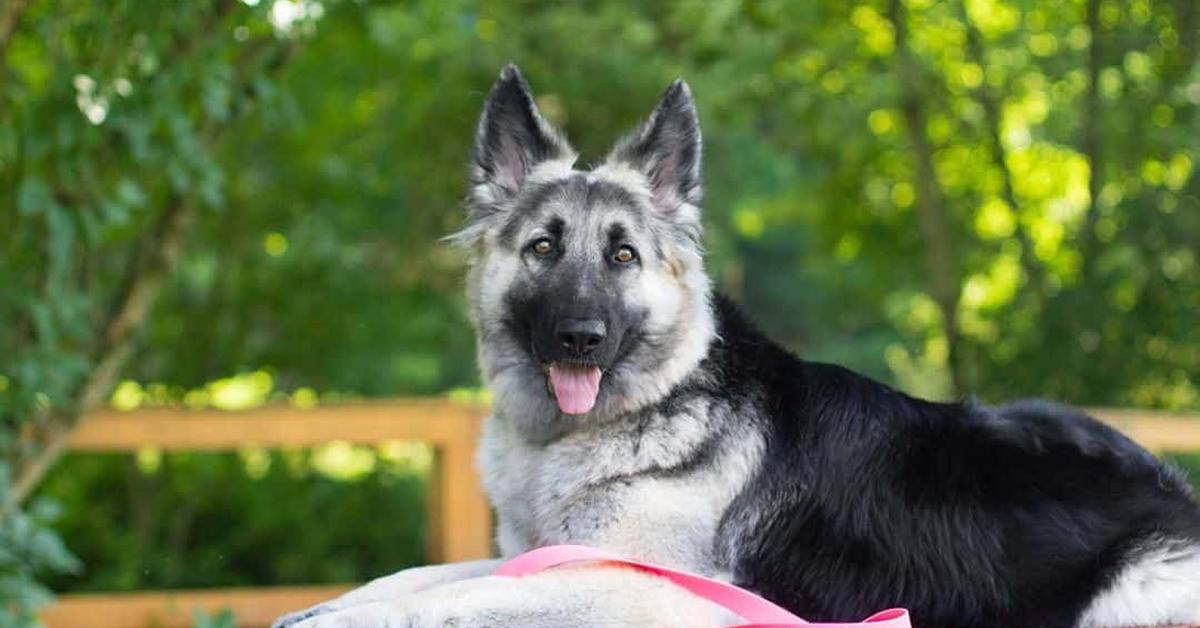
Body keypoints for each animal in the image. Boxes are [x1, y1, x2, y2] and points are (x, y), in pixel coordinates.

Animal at [276, 65, 1200, 628]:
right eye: (543, 248)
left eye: (622, 256)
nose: (581, 336)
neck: (635, 415)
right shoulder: (544, 555)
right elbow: (426, 576)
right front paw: (324, 607)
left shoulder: (636, 584)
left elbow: (461, 599)